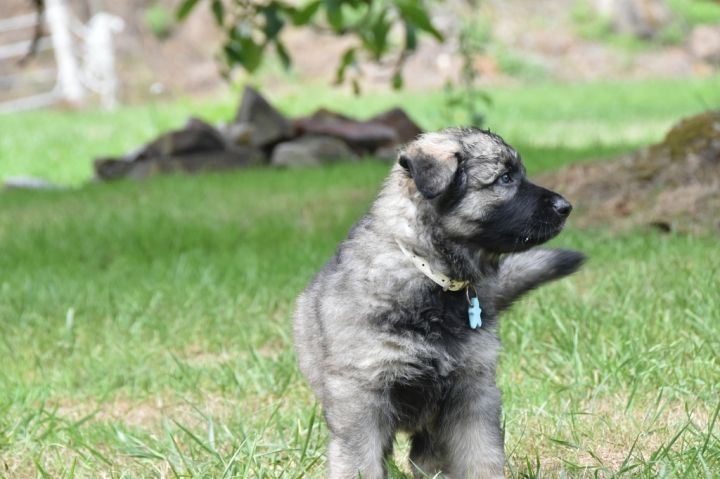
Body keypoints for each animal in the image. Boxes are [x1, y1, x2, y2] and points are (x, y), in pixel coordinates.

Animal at [293, 127, 585, 478]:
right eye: (504, 178)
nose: (566, 206)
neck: (431, 274)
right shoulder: (362, 397)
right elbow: (359, 463)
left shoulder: (473, 392)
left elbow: (482, 455)